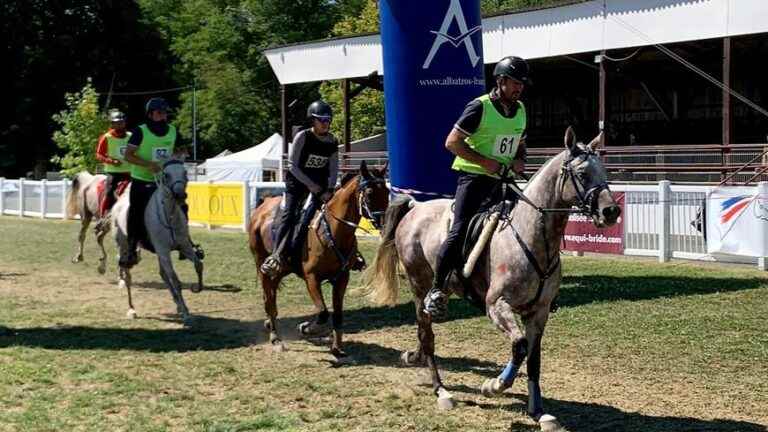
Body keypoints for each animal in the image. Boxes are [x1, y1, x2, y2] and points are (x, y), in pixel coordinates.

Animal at [110, 159, 204, 324]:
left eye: (185, 172)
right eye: (166, 175)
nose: (180, 194)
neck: (169, 217)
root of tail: (118, 204)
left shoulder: (184, 247)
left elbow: (198, 265)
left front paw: (196, 289)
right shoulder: (164, 251)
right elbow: (176, 281)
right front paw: (186, 314)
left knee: (163, 274)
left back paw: (177, 304)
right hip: (124, 248)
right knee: (127, 276)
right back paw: (132, 309)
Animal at [248, 162, 390, 362]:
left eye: (387, 191)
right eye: (369, 193)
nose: (385, 224)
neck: (332, 231)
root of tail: (263, 206)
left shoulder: (342, 278)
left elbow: (337, 314)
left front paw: (337, 348)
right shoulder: (312, 278)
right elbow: (323, 312)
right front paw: (306, 328)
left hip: (281, 270)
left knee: (271, 296)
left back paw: (270, 324)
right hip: (262, 264)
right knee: (269, 298)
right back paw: (275, 339)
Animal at [364, 126, 616, 426]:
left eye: (604, 171)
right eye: (582, 173)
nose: (611, 211)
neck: (532, 237)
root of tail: (415, 207)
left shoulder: (539, 312)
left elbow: (533, 359)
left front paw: (538, 411)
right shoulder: (497, 305)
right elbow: (519, 346)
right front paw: (493, 386)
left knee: (423, 330)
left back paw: (413, 356)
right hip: (418, 283)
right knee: (427, 334)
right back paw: (441, 391)